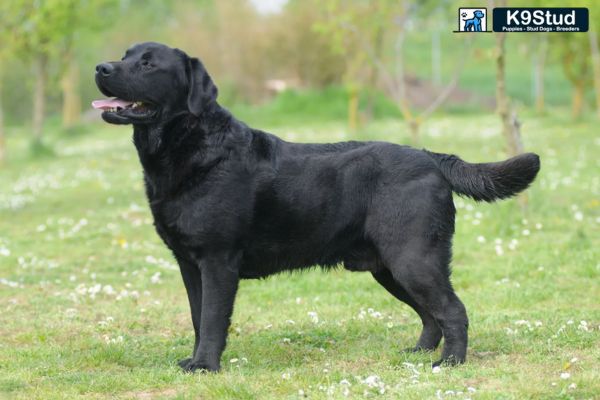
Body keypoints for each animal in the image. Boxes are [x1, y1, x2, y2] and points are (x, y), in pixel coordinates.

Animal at [94, 42, 540, 374]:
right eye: (125, 54)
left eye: (148, 63)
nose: (101, 67)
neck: (191, 146)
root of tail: (431, 157)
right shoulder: (189, 264)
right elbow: (196, 316)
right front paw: (195, 360)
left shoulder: (218, 261)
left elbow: (212, 319)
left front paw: (204, 366)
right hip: (390, 268)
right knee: (431, 314)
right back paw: (419, 353)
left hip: (414, 258)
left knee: (453, 310)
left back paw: (449, 363)